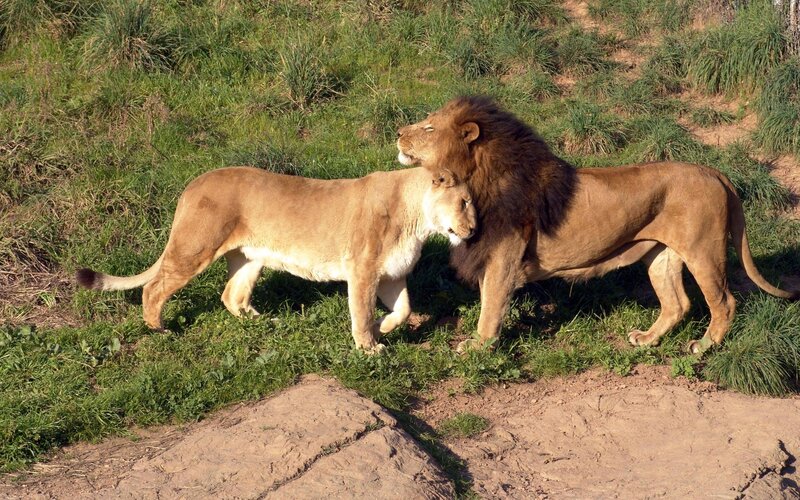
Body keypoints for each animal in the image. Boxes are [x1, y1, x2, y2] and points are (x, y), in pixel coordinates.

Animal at [76, 166, 476, 353]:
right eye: (464, 202)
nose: (473, 229)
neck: (418, 219)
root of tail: (193, 184)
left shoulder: (391, 274)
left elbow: (404, 310)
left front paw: (383, 328)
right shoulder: (362, 270)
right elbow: (361, 312)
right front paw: (369, 347)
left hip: (250, 258)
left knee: (231, 295)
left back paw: (263, 322)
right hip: (195, 247)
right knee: (155, 288)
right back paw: (159, 328)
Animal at [397, 96, 797, 354]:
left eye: (429, 127)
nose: (399, 132)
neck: (473, 180)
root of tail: (714, 172)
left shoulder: (502, 259)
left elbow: (490, 308)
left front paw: (478, 348)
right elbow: (486, 302)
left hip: (704, 251)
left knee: (725, 303)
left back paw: (703, 346)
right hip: (661, 255)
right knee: (678, 304)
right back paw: (647, 339)